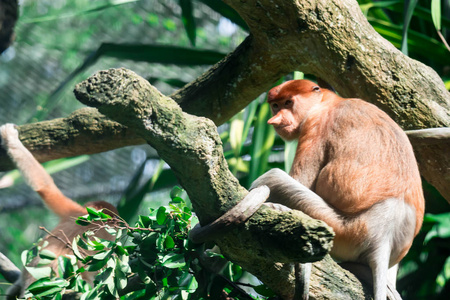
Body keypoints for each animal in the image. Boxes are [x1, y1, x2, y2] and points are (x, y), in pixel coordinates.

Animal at [251, 80, 424, 300]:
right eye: (275, 105)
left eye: (288, 103)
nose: (275, 120)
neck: (328, 101)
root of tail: (385, 236)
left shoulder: (315, 125)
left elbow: (301, 179)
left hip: (346, 230)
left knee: (273, 177)